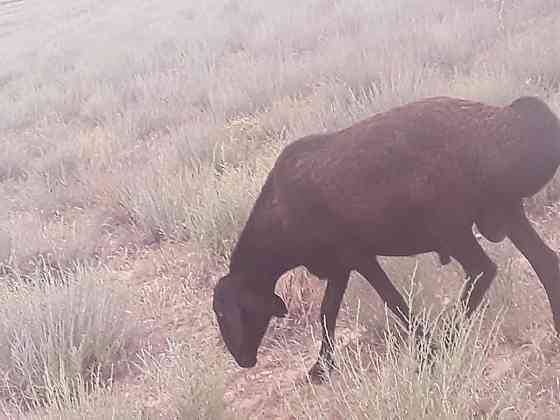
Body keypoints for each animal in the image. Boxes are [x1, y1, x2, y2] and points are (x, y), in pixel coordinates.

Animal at [212, 97, 560, 382]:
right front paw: (321, 367)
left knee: (481, 270)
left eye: (224, 315)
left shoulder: (359, 257)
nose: (242, 360)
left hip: (452, 229)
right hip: (507, 213)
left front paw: (427, 349)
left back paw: (449, 339)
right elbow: (327, 312)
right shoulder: (340, 267)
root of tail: (502, 123)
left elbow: (394, 302)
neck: (282, 209)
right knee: (546, 263)